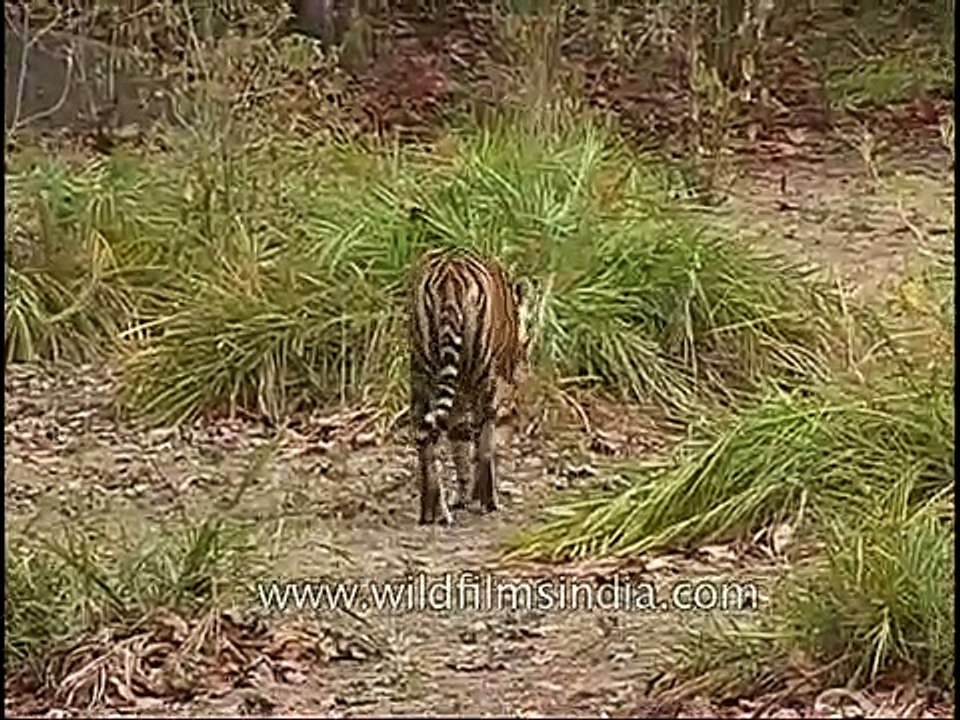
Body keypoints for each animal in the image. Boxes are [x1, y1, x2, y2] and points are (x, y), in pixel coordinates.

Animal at [407, 246, 535, 526]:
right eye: (528, 342)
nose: (524, 371)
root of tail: (448, 280)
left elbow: (459, 442)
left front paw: (463, 496)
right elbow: (482, 445)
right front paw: (481, 496)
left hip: (421, 375)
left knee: (426, 441)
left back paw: (432, 511)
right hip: (482, 376)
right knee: (482, 435)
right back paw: (485, 502)